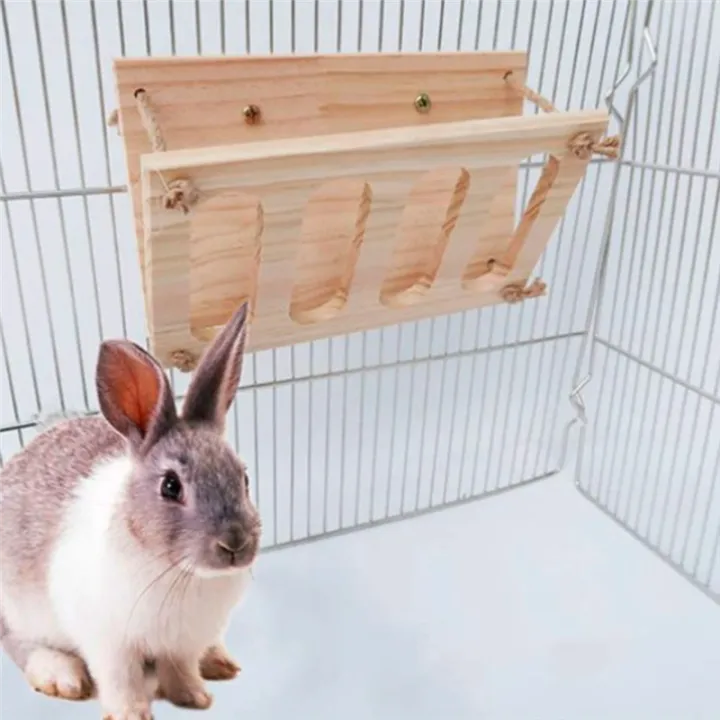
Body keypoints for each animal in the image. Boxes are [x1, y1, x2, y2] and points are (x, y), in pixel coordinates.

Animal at [0, 302, 262, 720]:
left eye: (244, 477)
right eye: (170, 486)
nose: (235, 544)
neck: (179, 572)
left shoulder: (183, 643)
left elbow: (180, 668)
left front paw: (194, 697)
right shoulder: (108, 642)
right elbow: (120, 678)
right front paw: (130, 713)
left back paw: (219, 662)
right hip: (16, 608)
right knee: (19, 643)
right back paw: (62, 675)